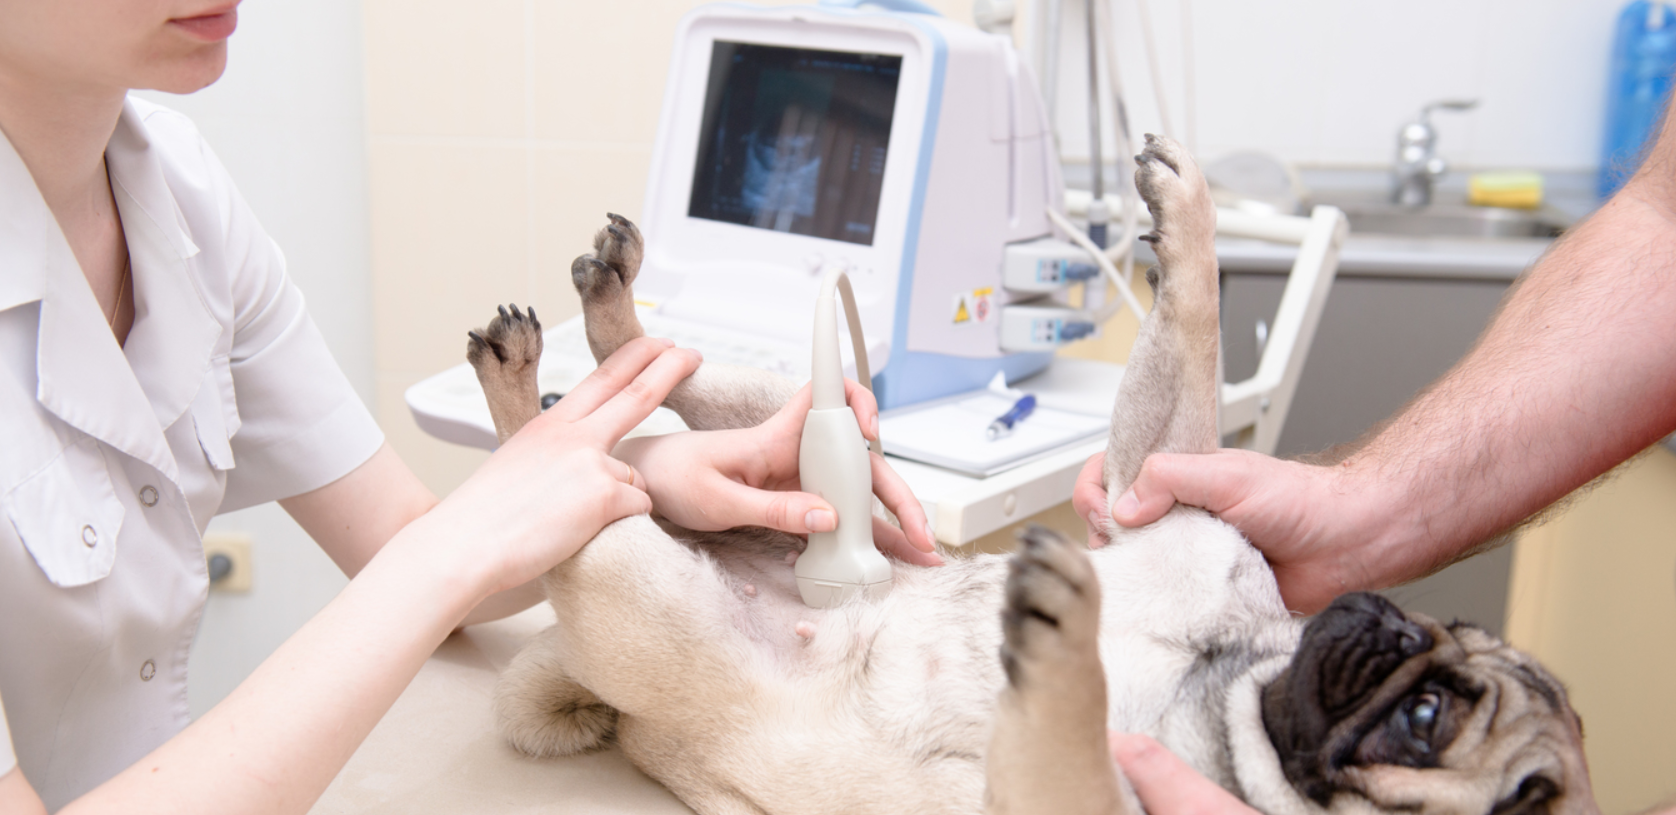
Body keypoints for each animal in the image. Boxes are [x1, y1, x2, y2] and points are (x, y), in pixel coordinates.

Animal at [465, 134, 1588, 815]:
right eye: (1446, 633)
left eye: (1427, 720)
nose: (1377, 616)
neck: (1230, 676)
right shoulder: (1163, 488)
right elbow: (1194, 322)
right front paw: (1186, 210)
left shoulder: (1068, 790)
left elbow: (1067, 733)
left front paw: (1063, 651)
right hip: (791, 422)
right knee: (660, 376)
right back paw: (589, 325)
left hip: (640, 584)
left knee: (581, 488)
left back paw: (537, 408)